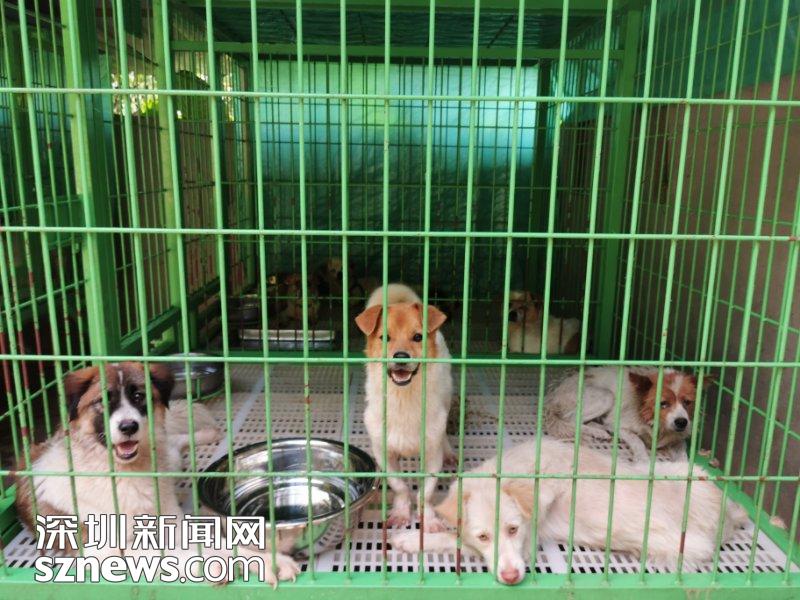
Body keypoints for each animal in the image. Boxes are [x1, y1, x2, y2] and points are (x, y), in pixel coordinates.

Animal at [13, 362, 300, 586]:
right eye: (103, 401)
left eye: (139, 397)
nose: (129, 426)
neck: (127, 474)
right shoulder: (106, 555)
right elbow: (168, 555)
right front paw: (215, 563)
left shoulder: (175, 524)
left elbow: (224, 544)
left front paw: (269, 561)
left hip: (170, 461)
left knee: (176, 441)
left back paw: (207, 434)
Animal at [355, 283, 454, 531]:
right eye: (385, 338)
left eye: (418, 337)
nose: (401, 356)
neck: (403, 399)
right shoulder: (384, 453)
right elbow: (399, 485)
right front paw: (401, 512)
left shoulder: (432, 457)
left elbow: (425, 492)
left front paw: (428, 519)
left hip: (447, 397)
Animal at [391, 437, 747, 584]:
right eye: (484, 535)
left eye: (513, 529)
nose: (511, 577)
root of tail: (728, 512)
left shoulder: (528, 542)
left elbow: (456, 541)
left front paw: (410, 540)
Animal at [543, 367, 713, 461]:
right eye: (663, 403)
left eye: (687, 402)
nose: (681, 422)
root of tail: (554, 393)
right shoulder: (620, 425)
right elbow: (637, 441)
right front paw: (643, 459)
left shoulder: (677, 438)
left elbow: (683, 455)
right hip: (606, 396)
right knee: (571, 419)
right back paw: (597, 431)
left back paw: (600, 431)